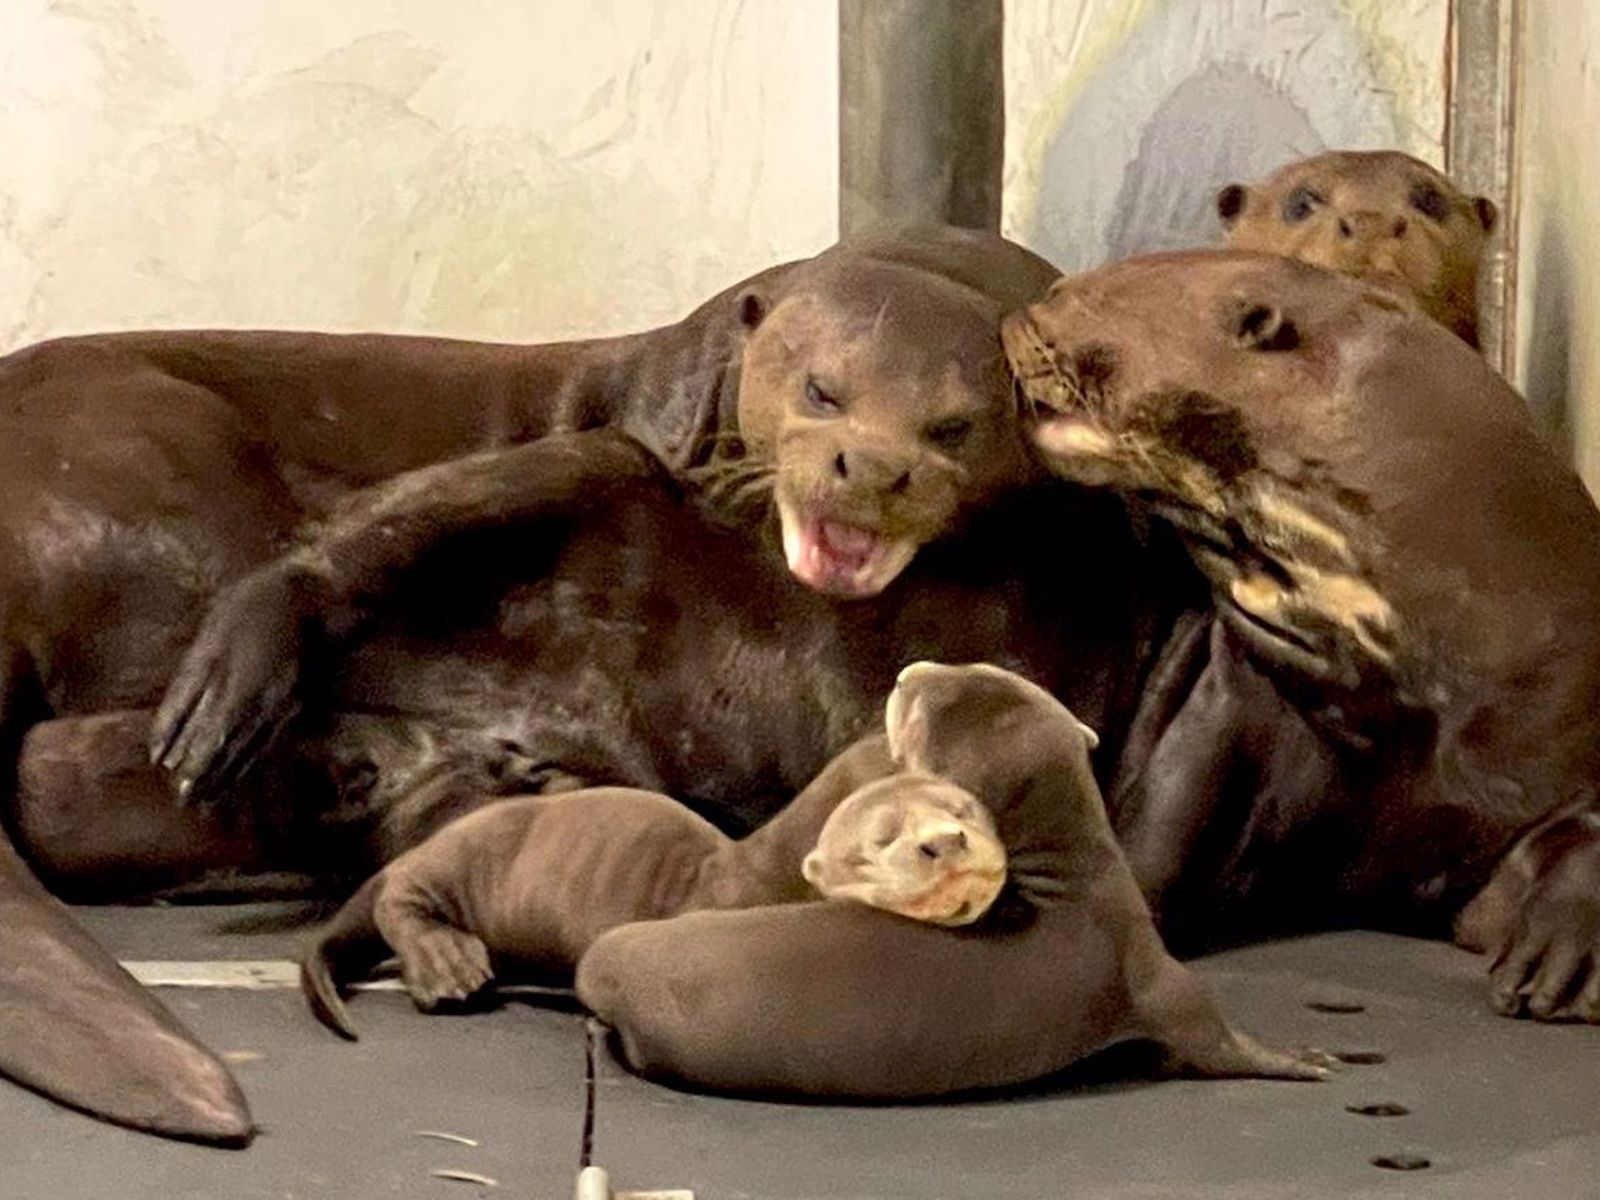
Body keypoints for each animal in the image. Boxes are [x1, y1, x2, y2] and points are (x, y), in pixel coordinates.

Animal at [300, 739, 998, 1036]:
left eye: (960, 806)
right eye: (887, 836)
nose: (952, 839)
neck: (751, 879)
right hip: (456, 860)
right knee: (399, 899)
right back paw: (448, 968)